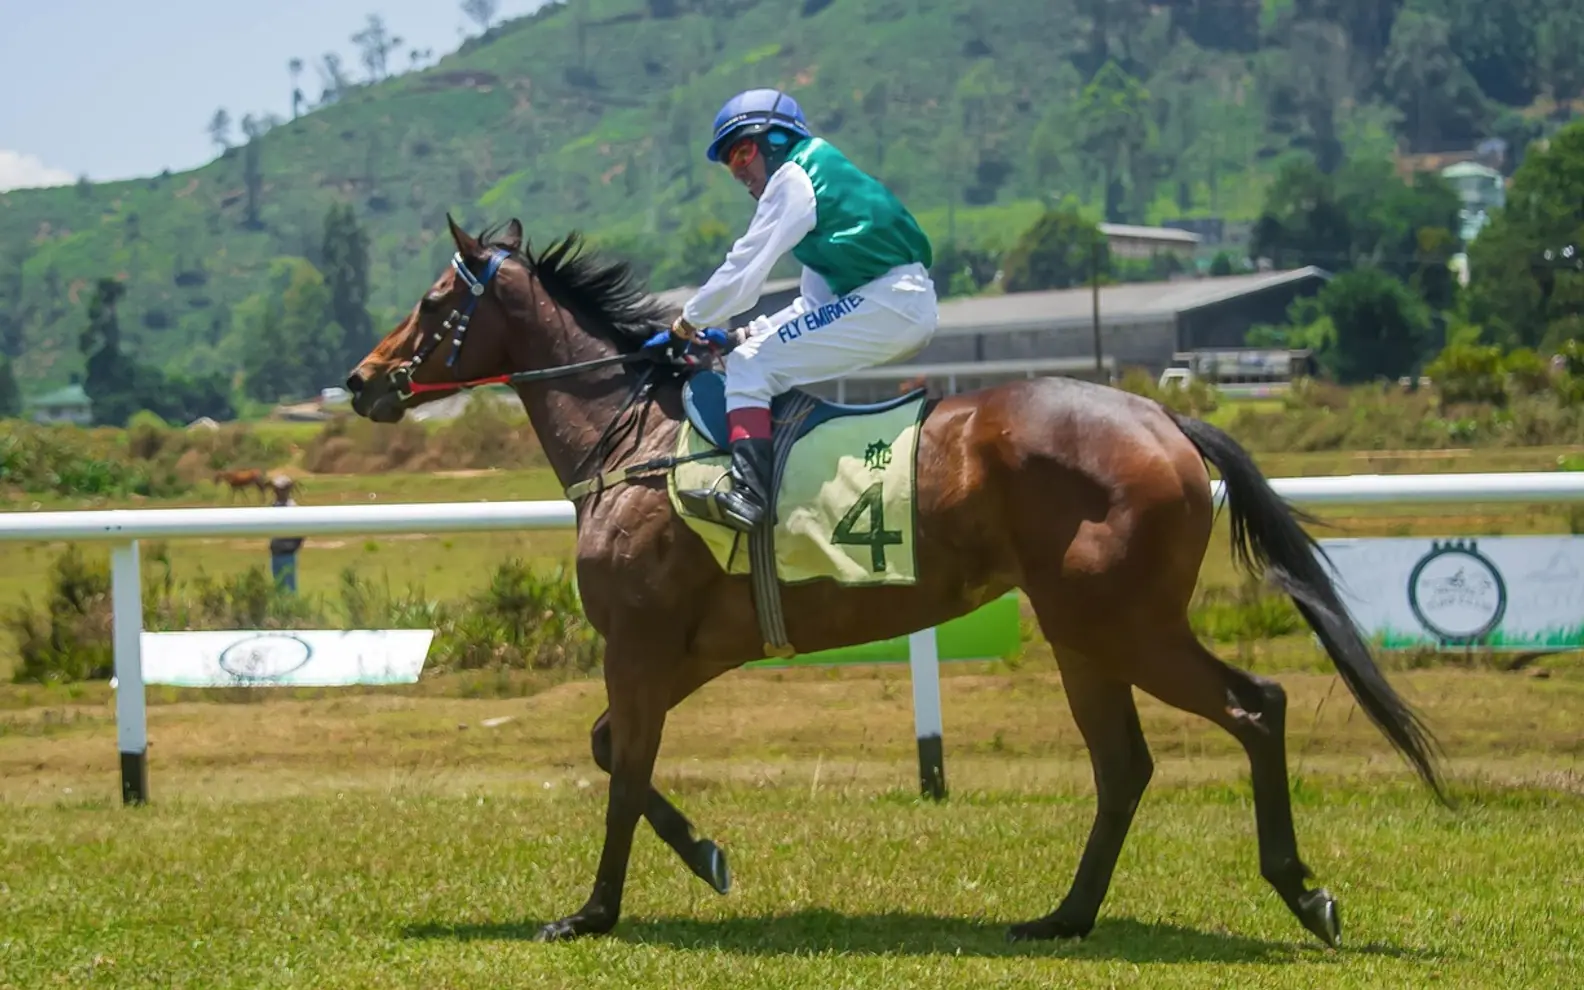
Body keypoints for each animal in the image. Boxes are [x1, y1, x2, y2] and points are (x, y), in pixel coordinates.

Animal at [344, 215, 1445, 946]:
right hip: (1082, 632)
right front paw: (706, 855)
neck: (639, 439)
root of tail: (1161, 416)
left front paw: (593, 911)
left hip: (1125, 623)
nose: (362, 380)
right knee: (1124, 765)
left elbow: (622, 776)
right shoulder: (687, 650)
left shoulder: (643, 643)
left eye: (434, 305)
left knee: (1255, 707)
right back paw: (1064, 917)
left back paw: (1301, 892)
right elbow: (615, 750)